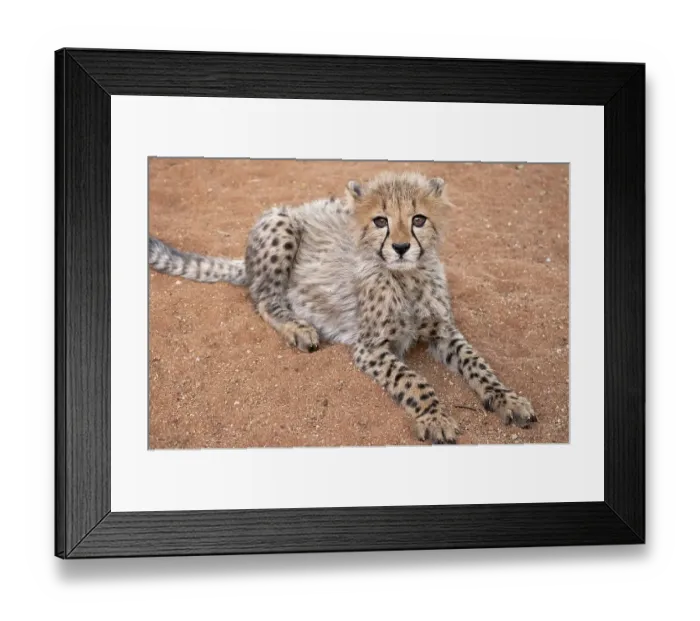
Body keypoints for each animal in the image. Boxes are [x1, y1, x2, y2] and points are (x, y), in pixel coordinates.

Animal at [148, 171, 537, 444]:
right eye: (380, 221)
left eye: (418, 219)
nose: (400, 248)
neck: (406, 277)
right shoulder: (369, 347)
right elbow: (413, 380)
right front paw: (435, 417)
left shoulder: (443, 330)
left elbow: (477, 363)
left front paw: (508, 398)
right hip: (280, 223)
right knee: (264, 298)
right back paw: (299, 328)